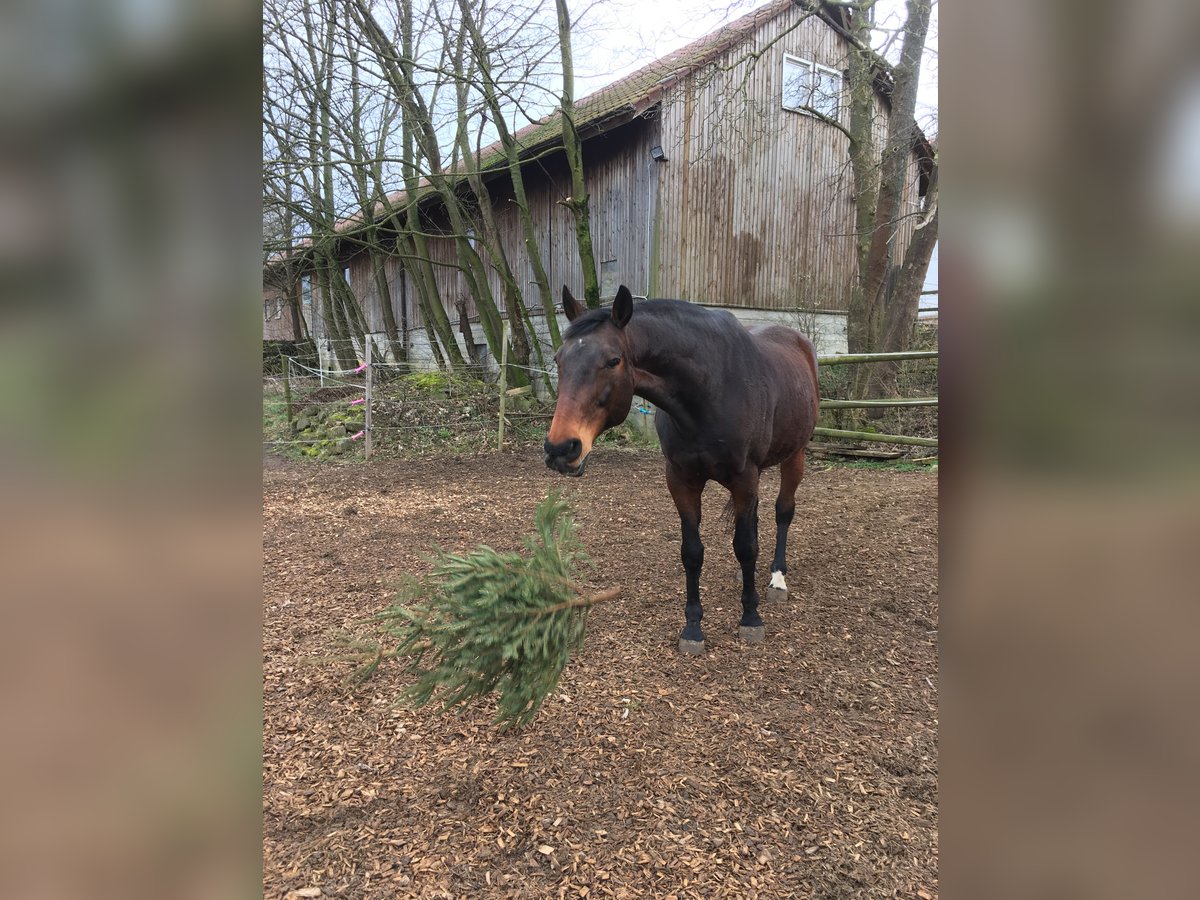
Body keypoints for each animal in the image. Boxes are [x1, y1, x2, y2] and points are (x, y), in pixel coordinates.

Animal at [547, 285, 820, 652]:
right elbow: (693, 552)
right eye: (559, 360)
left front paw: (750, 618)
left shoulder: (744, 477)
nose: (561, 448)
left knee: (782, 512)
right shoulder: (681, 480)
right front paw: (692, 627)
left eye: (613, 360)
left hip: (795, 456)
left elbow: (745, 546)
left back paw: (777, 578)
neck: (709, 391)